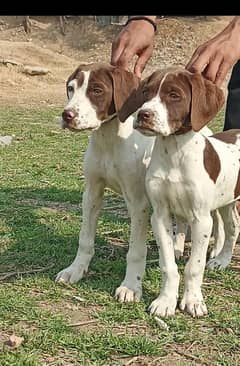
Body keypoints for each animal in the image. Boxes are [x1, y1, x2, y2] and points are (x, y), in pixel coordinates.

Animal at [119, 66, 239, 318]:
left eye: (174, 95)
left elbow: (194, 266)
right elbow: (168, 265)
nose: (143, 115)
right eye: (145, 92)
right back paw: (222, 260)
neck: (174, 151)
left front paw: (193, 300)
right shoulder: (160, 216)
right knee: (233, 227)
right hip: (226, 201)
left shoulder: (201, 220)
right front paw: (166, 301)